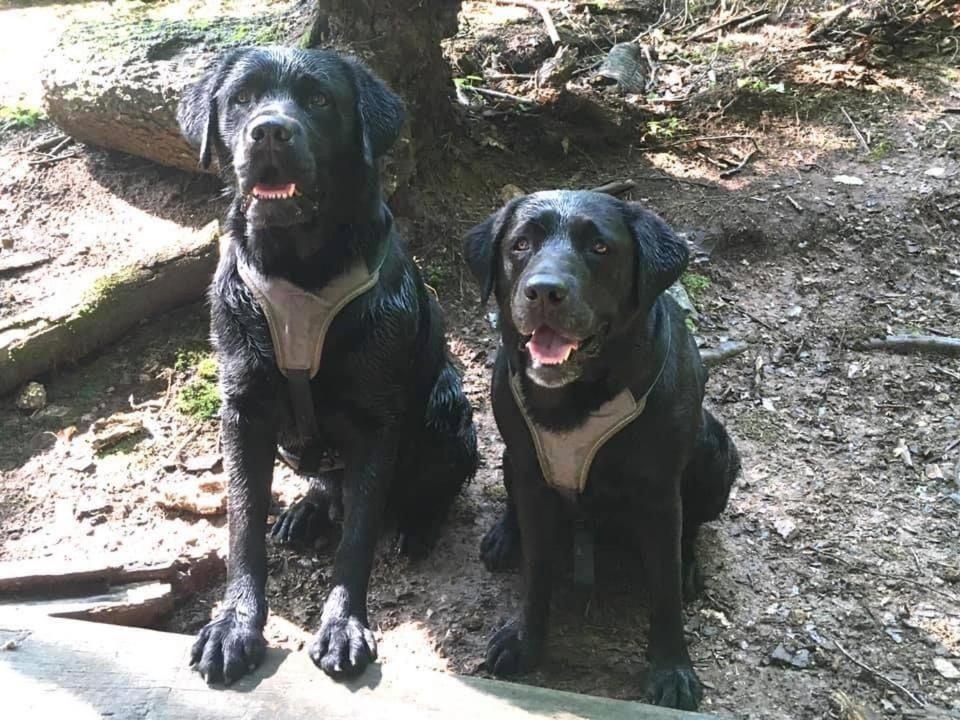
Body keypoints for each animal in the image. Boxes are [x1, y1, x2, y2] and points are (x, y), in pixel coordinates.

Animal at [176, 49, 476, 688]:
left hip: (448, 411)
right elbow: (243, 526)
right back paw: (308, 509)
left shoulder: (376, 423)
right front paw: (234, 625)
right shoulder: (243, 411)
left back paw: (419, 524)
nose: (270, 130)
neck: (300, 271)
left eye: (318, 100)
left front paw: (342, 626)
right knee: (323, 482)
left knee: (432, 482)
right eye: (241, 98)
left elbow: (357, 538)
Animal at [466, 188, 744, 712]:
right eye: (521, 244)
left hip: (715, 451)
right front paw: (524, 641)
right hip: (512, 458)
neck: (574, 400)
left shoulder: (659, 496)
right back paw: (505, 536)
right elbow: (536, 572)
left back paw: (689, 564)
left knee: (691, 530)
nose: (544, 291)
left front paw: (672, 669)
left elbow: (664, 591)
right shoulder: (532, 477)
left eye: (599, 248)